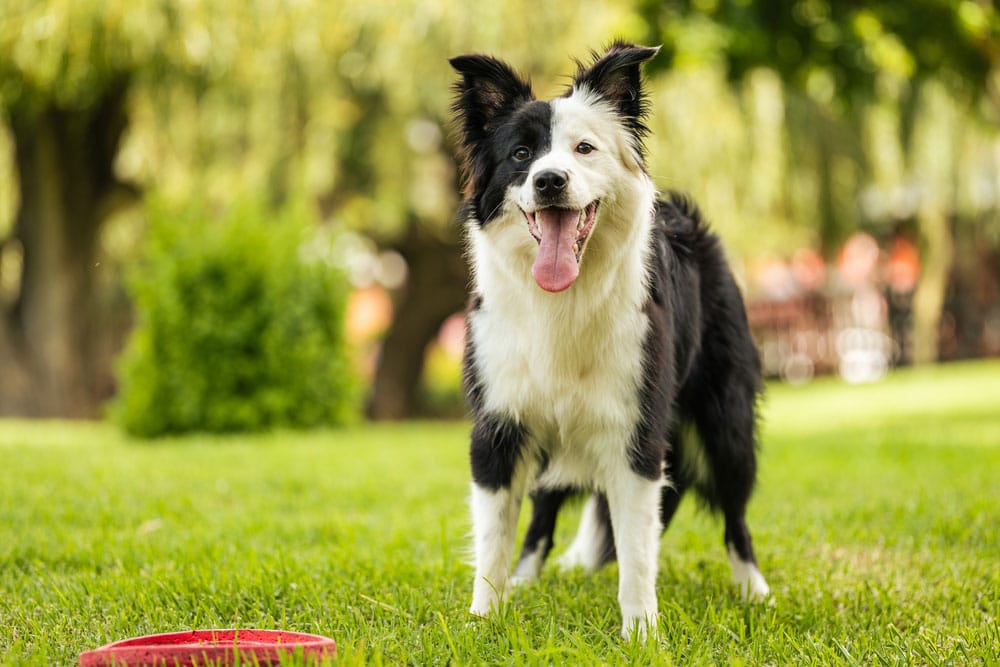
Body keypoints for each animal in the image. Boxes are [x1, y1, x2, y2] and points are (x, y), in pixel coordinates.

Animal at [450, 43, 768, 640]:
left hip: (727, 420)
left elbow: (638, 549)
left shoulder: (636, 433)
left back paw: (753, 589)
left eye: (584, 148)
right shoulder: (500, 425)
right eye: (521, 154)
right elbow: (493, 538)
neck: (560, 302)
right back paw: (527, 580)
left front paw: (641, 633)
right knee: (542, 514)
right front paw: (483, 620)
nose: (550, 181)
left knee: (736, 514)